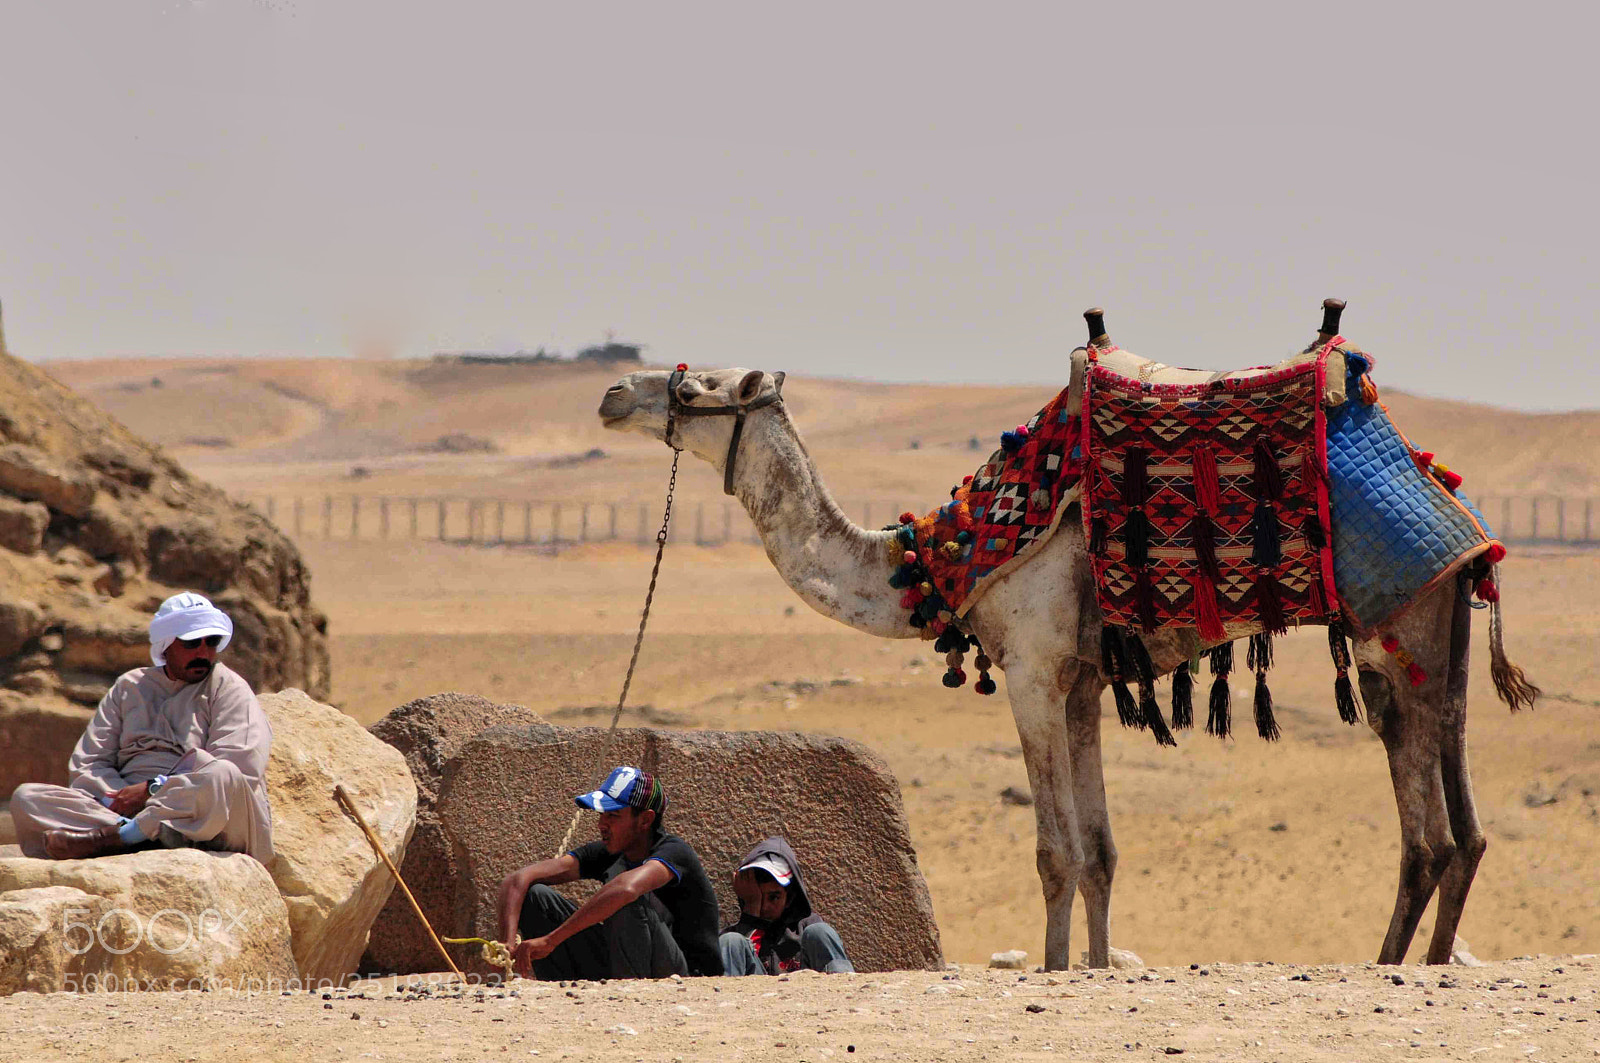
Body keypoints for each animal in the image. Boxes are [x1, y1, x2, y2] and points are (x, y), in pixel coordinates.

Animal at [597, 341, 1538, 971]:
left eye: (701, 383)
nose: (612, 392)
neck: (940, 559)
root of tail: (1463, 517)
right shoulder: (1083, 682)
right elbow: (1102, 849)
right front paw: (1089, 964)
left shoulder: (1034, 671)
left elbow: (1057, 852)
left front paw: (1052, 967)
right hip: (1432, 642)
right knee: (1458, 819)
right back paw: (1421, 957)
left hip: (1400, 631)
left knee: (1429, 822)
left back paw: (1395, 962)